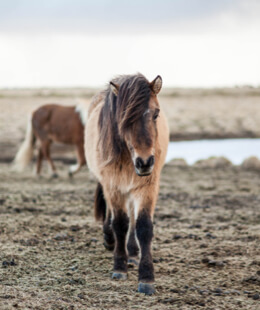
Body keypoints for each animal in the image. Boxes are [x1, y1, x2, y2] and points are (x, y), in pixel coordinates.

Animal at [85, 74, 170, 294]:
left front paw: (147, 278)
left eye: (156, 114)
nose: (145, 162)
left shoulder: (147, 187)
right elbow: (120, 224)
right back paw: (110, 240)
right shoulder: (113, 186)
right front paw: (119, 267)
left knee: (132, 216)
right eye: (125, 118)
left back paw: (132, 253)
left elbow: (143, 226)